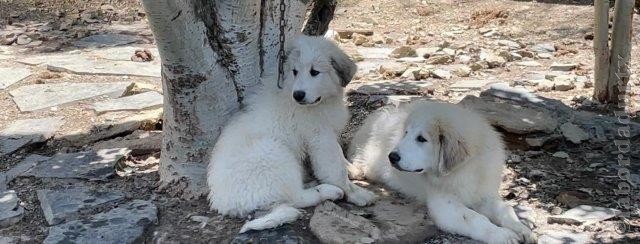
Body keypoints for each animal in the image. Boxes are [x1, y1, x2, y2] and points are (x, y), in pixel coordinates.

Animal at [208, 35, 376, 234]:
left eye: (314, 72)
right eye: (295, 71)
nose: (298, 95)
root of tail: (225, 204)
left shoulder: (328, 132)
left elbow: (339, 156)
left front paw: (351, 168)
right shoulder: (320, 138)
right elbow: (335, 169)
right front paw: (356, 193)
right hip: (275, 154)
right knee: (296, 197)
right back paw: (328, 191)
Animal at [350, 100, 536, 243]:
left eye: (421, 139)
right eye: (406, 133)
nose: (392, 156)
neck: (466, 169)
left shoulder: (485, 194)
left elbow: (505, 209)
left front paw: (522, 229)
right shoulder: (445, 205)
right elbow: (475, 218)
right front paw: (503, 235)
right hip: (370, 158)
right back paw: (354, 171)